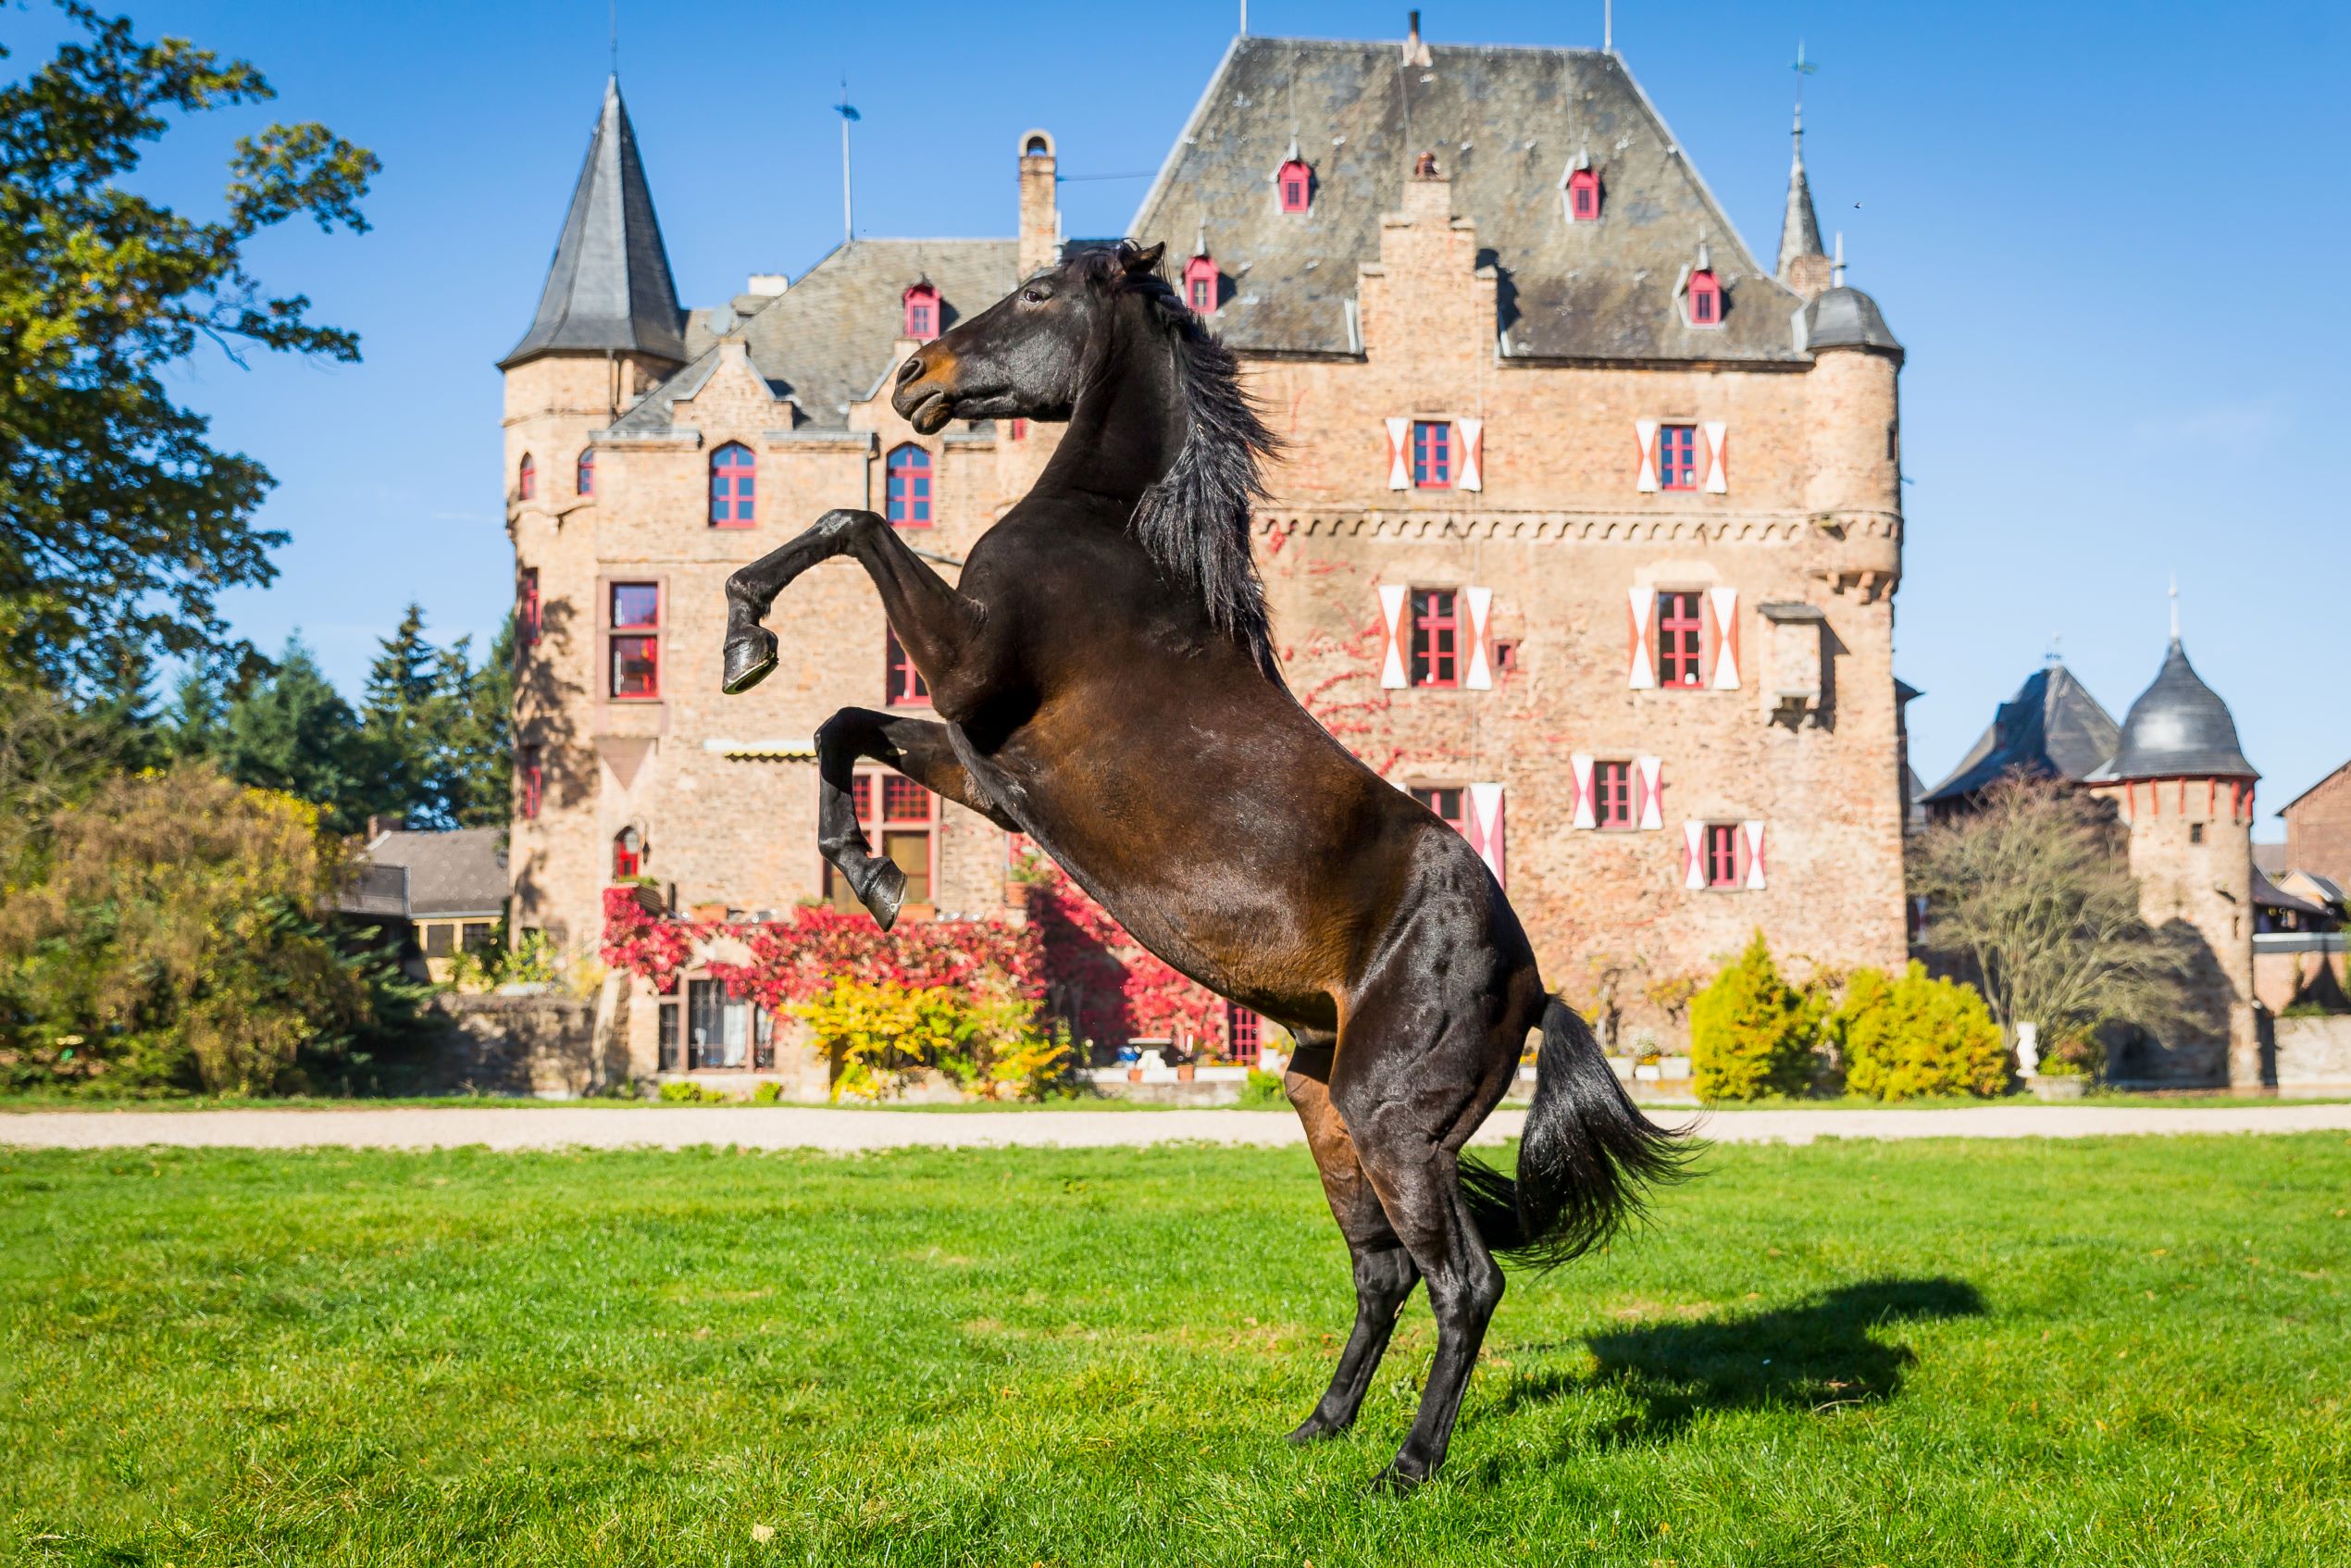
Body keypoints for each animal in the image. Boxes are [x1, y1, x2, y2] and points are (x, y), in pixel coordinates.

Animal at [719, 240, 1692, 1495]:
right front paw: (868, 868)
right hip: (1323, 1105)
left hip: (1391, 1121)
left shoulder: (968, 668)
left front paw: (746, 633)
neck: (1112, 532)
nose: (913, 377)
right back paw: (1319, 1425)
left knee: (1463, 1282)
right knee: (1381, 1271)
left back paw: (1407, 1465)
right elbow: (841, 722)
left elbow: (851, 519)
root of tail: (1536, 985)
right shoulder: (986, 771)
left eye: (1038, 293)